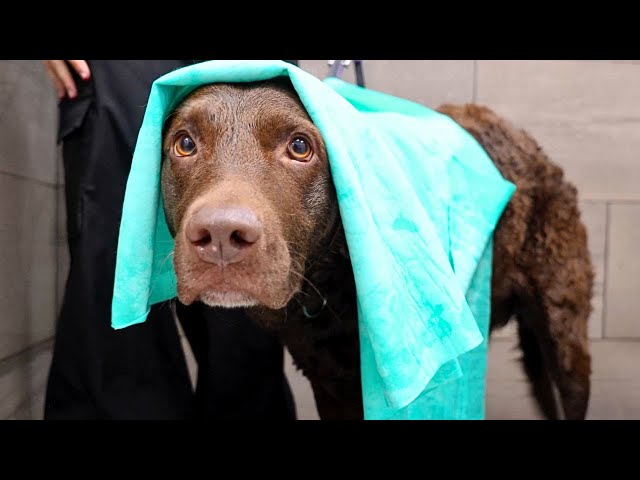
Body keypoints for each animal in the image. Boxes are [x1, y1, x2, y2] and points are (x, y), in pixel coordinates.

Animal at [161, 79, 596, 420]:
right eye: (185, 144)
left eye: (300, 147)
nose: (220, 235)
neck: (330, 280)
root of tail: (526, 141)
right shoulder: (328, 382)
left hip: (564, 336)